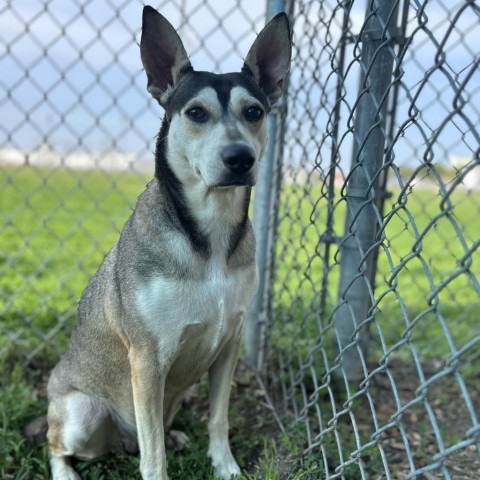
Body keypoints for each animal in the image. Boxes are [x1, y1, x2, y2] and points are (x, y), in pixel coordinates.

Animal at [47, 7, 290, 480]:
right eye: (196, 113)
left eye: (254, 111)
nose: (240, 158)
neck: (210, 235)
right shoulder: (147, 360)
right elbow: (152, 453)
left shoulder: (229, 344)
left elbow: (219, 417)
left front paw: (225, 465)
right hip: (82, 413)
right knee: (59, 443)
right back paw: (66, 471)